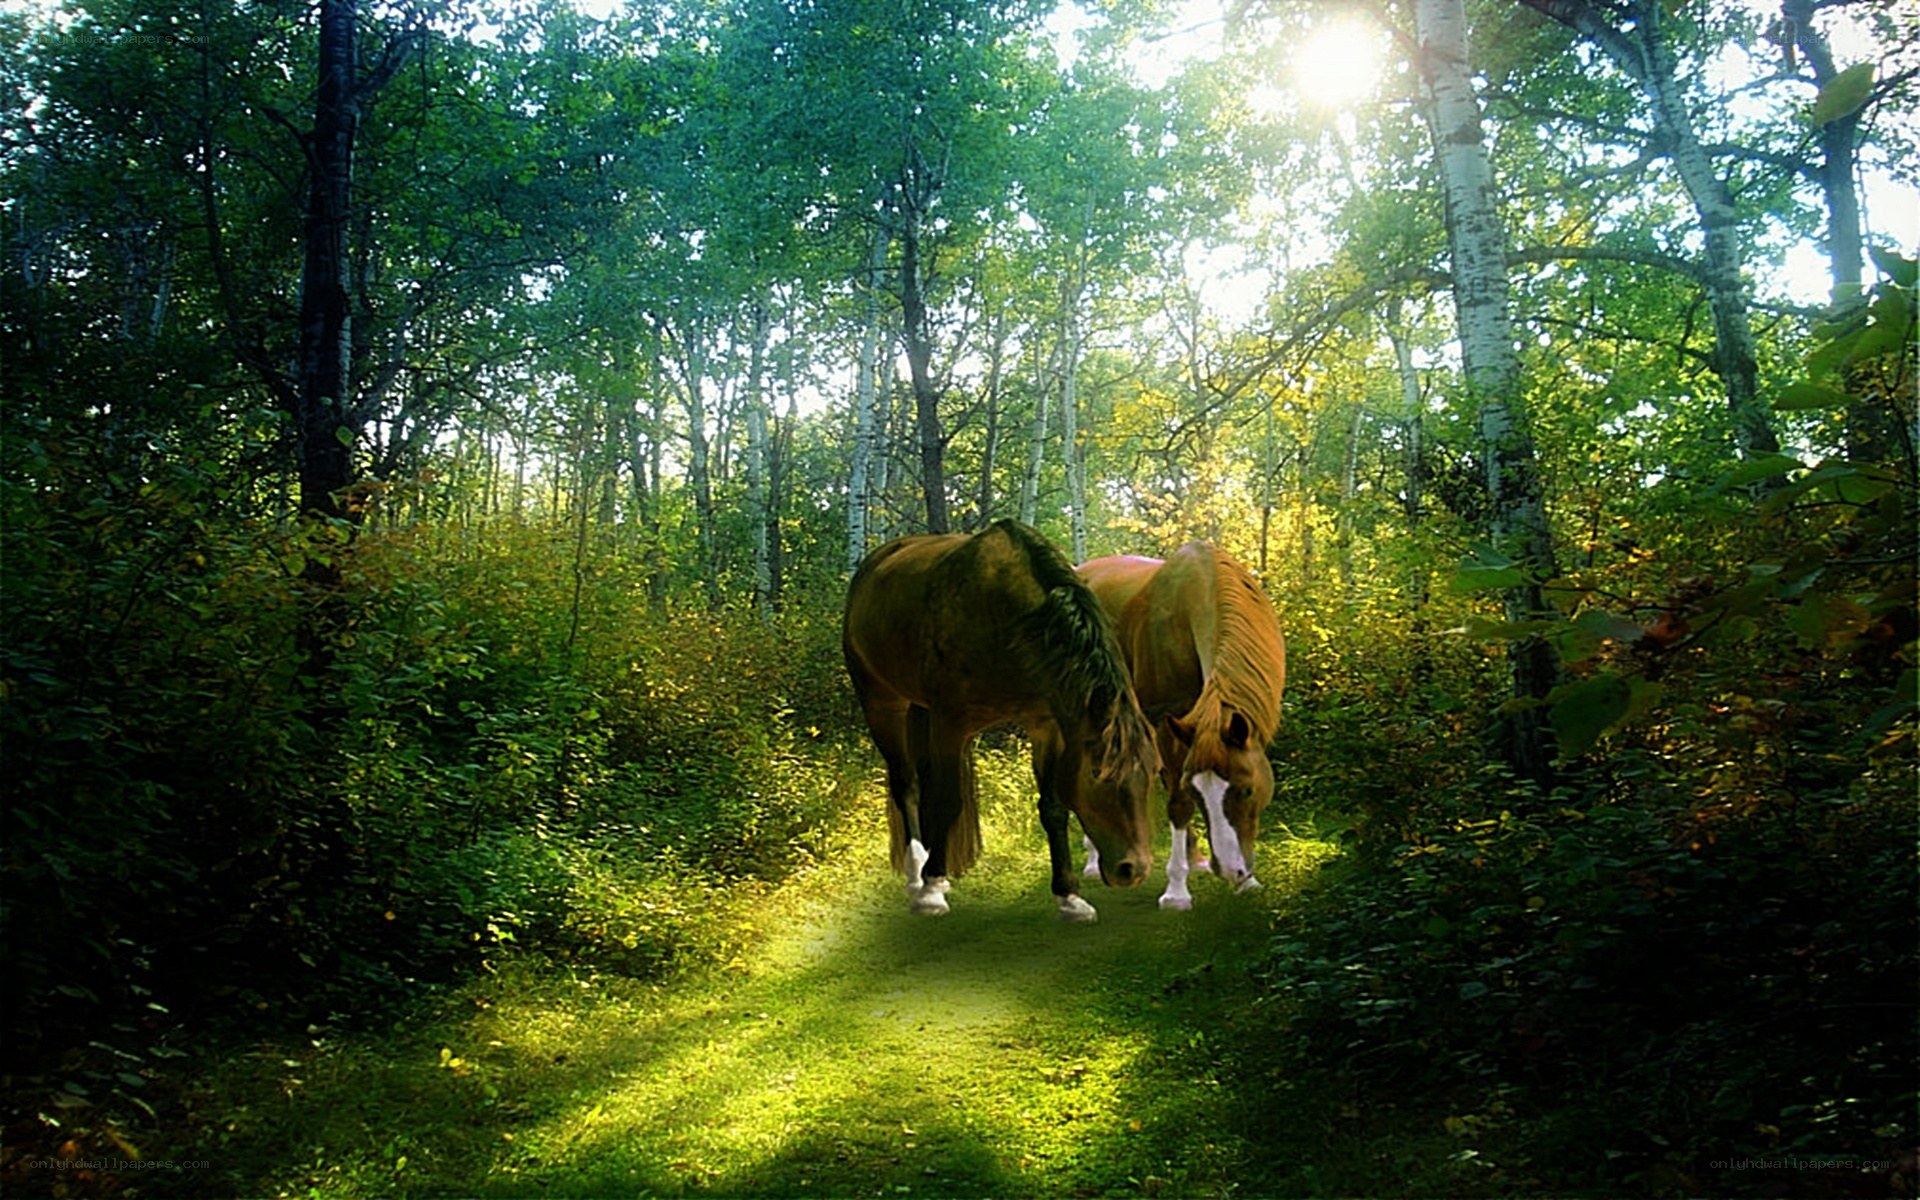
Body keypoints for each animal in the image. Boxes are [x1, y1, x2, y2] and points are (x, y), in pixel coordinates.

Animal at [842, 519, 1158, 922]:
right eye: (1097, 773)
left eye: (1152, 771)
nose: (1133, 870)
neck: (1012, 621)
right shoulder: (951, 723)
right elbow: (947, 801)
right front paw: (931, 891)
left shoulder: (1045, 727)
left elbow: (1053, 808)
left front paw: (1069, 896)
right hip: (881, 701)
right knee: (907, 784)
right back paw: (917, 875)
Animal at [1075, 543, 1287, 909]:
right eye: (1198, 792)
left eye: (1247, 790)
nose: (1231, 871)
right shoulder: (1166, 720)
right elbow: (1178, 803)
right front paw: (1176, 891)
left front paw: (1247, 882)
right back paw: (1092, 860)